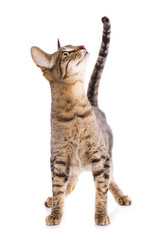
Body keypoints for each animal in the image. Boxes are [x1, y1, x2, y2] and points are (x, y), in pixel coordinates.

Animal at [30, 16, 131, 225]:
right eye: (66, 53)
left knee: (111, 180)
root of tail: (95, 106)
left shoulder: (100, 157)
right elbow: (58, 188)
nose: (82, 46)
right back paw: (51, 200)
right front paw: (56, 213)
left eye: (75, 44)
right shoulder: (59, 160)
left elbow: (101, 190)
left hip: (107, 156)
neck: (74, 110)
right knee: (70, 185)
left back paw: (121, 196)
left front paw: (101, 215)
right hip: (73, 167)